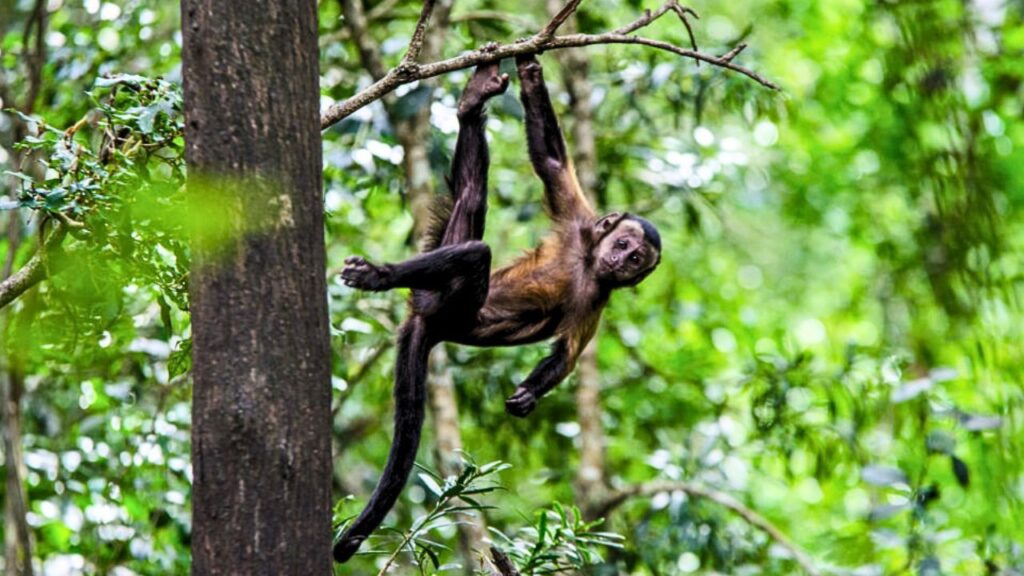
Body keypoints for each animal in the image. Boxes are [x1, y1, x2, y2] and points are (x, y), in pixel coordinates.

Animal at [333, 54, 661, 563]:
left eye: (635, 261)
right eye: (624, 244)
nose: (621, 261)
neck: (588, 261)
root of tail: (425, 320)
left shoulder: (598, 298)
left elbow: (567, 354)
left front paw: (529, 394)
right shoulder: (581, 222)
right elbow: (549, 160)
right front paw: (530, 71)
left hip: (445, 300)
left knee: (472, 221)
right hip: (441, 293)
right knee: (474, 235)